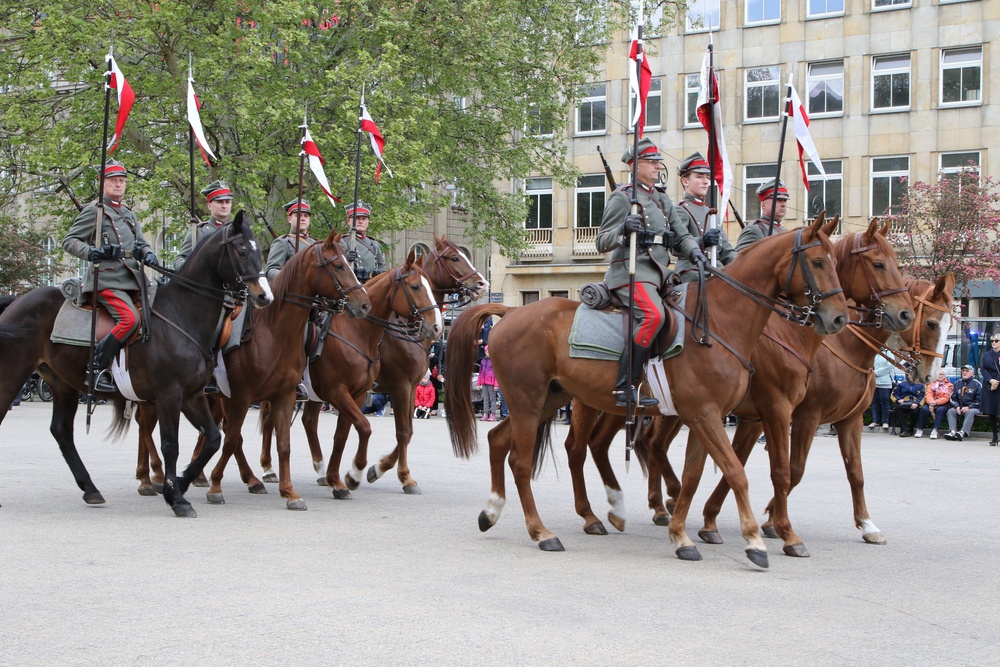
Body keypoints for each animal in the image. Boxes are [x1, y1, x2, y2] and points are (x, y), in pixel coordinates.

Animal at [0, 214, 274, 516]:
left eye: (258, 251)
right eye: (242, 251)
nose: (264, 296)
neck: (181, 314)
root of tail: (16, 301)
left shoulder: (192, 394)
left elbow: (213, 438)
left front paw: (181, 482)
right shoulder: (169, 395)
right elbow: (171, 444)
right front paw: (176, 498)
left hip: (62, 385)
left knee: (62, 432)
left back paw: (91, 489)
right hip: (12, 375)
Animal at [258, 235, 488, 490]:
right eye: (455, 257)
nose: (482, 284)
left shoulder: (407, 388)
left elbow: (406, 431)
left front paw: (384, 471)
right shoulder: (399, 386)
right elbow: (402, 432)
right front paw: (384, 472)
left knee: (308, 421)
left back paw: (320, 470)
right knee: (269, 418)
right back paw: (269, 469)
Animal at [446, 219, 852, 568]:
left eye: (836, 263)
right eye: (818, 261)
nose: (838, 318)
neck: (720, 322)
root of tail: (510, 311)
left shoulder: (709, 417)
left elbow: (694, 476)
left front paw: (682, 535)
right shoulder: (727, 414)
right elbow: (740, 472)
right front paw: (756, 540)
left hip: (549, 400)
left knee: (502, 441)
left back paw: (495, 511)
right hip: (530, 402)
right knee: (524, 460)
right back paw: (543, 532)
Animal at [564, 219, 916, 560]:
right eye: (878, 263)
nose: (905, 314)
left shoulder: (816, 418)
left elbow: (849, 471)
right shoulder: (783, 412)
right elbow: (782, 470)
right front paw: (776, 528)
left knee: (616, 444)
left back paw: (633, 508)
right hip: (600, 403)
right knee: (584, 447)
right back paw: (604, 513)